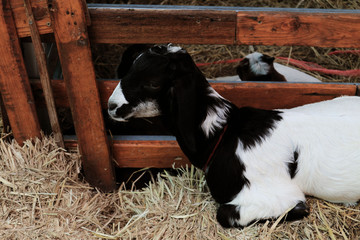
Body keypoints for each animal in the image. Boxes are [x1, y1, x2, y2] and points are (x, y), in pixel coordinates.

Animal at [108, 44, 360, 227]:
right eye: (129, 70)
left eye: (152, 83)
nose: (111, 106)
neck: (223, 133)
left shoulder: (278, 196)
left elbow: (226, 214)